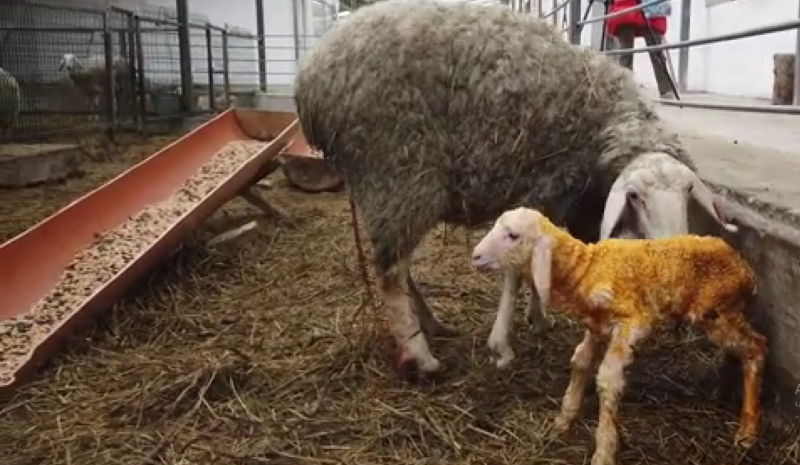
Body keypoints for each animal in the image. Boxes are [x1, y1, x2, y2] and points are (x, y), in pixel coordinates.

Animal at [290, 0, 736, 376]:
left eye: (687, 194)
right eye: (634, 197)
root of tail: (310, 79)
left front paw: (538, 316)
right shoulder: (543, 188)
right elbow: (518, 270)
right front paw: (507, 338)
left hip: (392, 189)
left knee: (398, 263)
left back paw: (431, 324)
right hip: (398, 172)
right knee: (390, 273)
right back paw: (420, 355)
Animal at [472, 208, 764, 464]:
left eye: (513, 235)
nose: (475, 256)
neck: (586, 270)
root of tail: (745, 270)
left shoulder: (632, 324)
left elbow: (608, 380)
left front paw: (604, 451)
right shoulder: (597, 328)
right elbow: (580, 361)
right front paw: (564, 419)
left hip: (717, 313)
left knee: (756, 347)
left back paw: (747, 433)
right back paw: (722, 391)